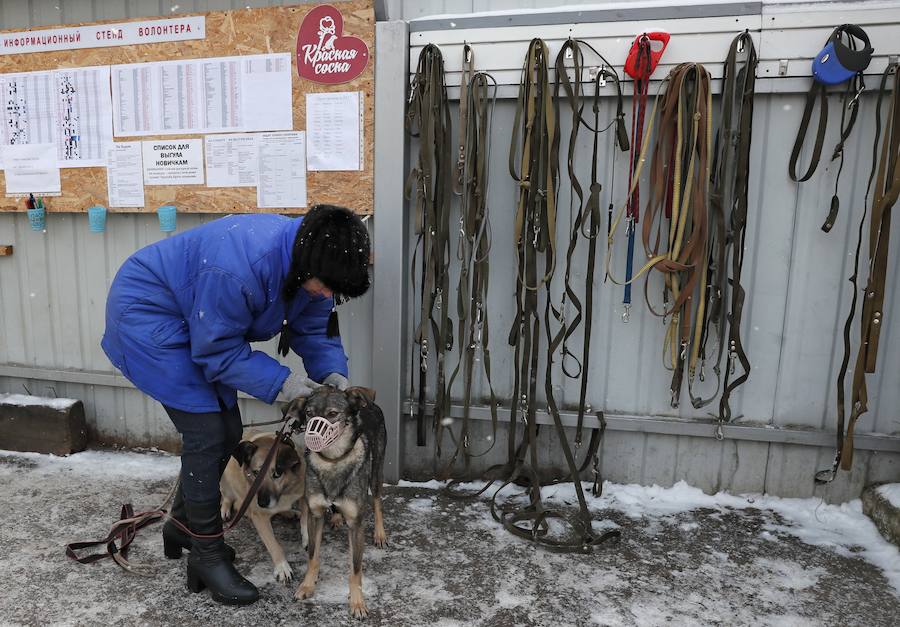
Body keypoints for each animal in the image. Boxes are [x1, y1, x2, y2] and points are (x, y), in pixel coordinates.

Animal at [221, 432, 310, 584]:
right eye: (256, 473)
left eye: (277, 474)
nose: (261, 503)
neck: (284, 492)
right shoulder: (260, 516)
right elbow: (273, 545)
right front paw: (282, 567)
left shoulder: (304, 493)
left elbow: (305, 518)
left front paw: (307, 537)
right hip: (227, 480)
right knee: (228, 499)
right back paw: (226, 509)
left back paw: (290, 512)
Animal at [282, 386, 386, 620]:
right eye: (308, 413)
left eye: (332, 414)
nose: (312, 435)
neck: (332, 461)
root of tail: (370, 402)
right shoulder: (315, 515)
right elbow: (313, 556)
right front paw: (307, 586)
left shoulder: (356, 524)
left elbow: (355, 569)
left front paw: (357, 602)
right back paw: (337, 517)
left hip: (376, 471)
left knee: (377, 500)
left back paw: (380, 534)